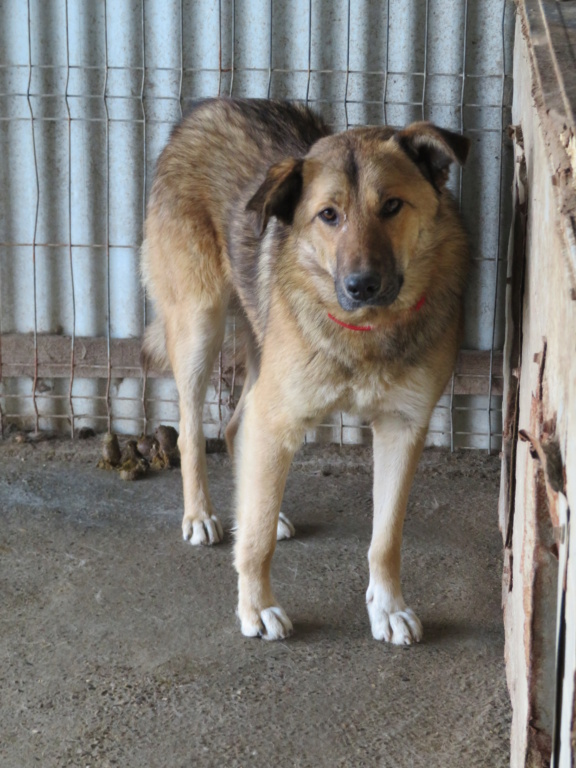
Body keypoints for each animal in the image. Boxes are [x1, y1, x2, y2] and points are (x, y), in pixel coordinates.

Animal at [142, 99, 470, 644]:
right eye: (328, 216)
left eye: (392, 206)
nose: (361, 285)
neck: (365, 331)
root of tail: (208, 106)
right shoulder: (277, 418)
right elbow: (255, 544)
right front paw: (256, 608)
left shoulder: (403, 428)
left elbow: (386, 538)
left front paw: (388, 607)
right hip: (198, 324)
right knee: (191, 430)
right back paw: (201, 514)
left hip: (262, 345)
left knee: (237, 428)